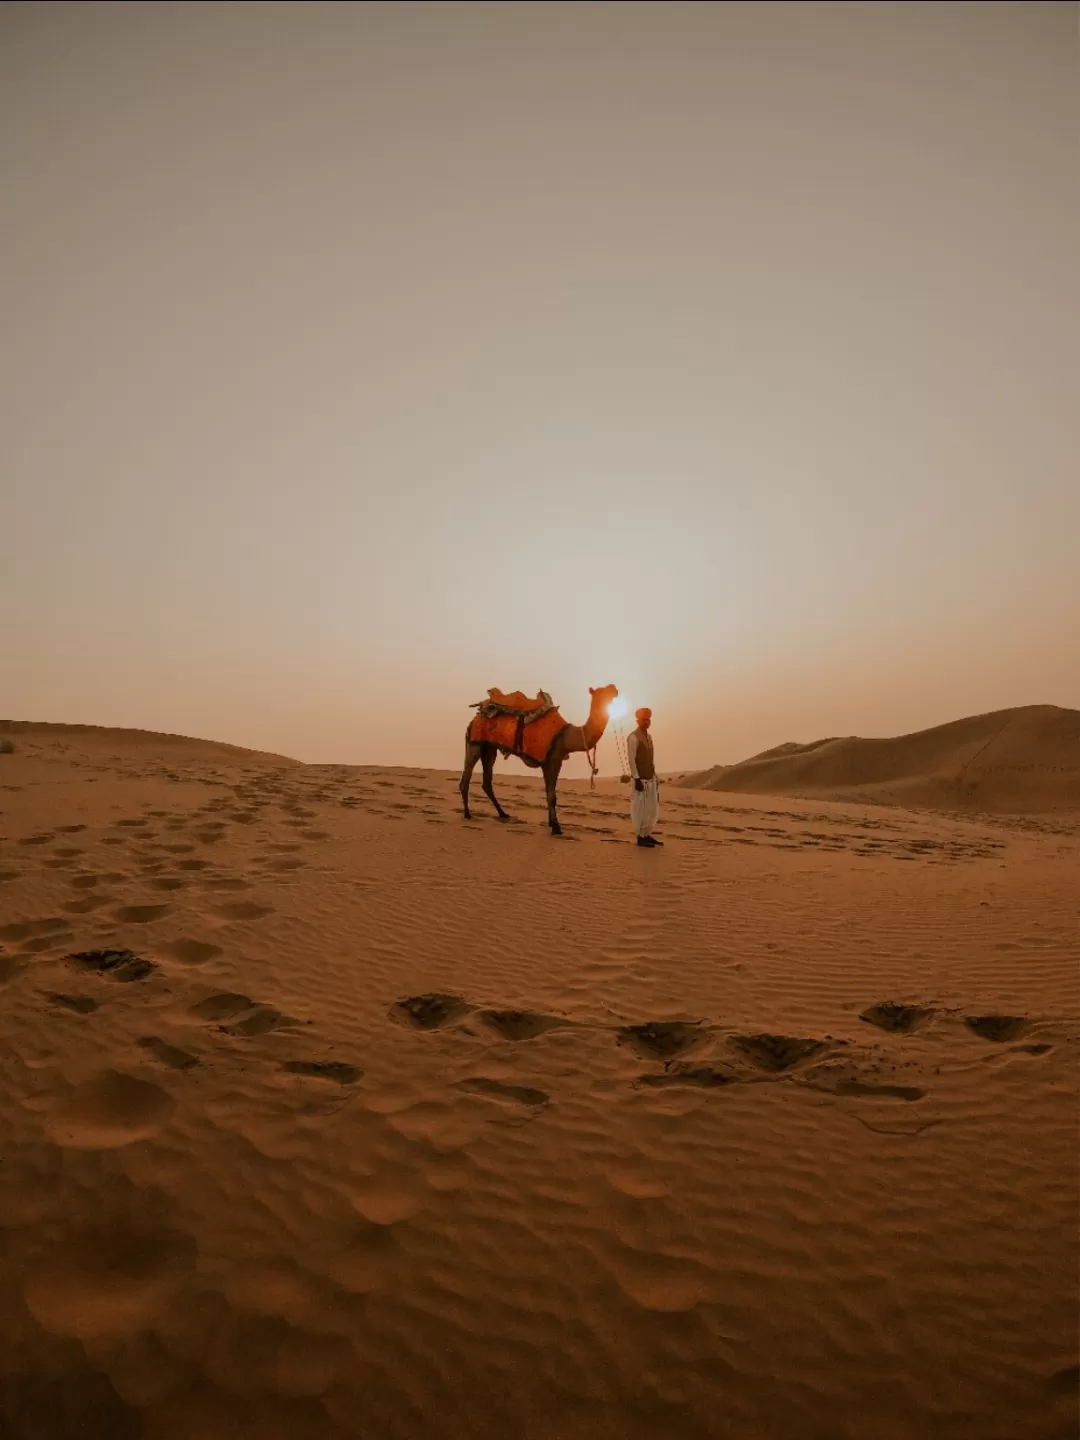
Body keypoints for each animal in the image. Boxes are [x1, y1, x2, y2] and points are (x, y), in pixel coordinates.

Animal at [460, 688, 622, 840]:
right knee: (466, 777)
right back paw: (467, 814)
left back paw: (503, 814)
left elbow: (549, 792)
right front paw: (556, 828)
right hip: (474, 744)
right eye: (603, 690)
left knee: (487, 781)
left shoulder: (554, 761)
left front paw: (551, 823)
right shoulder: (551, 761)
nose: (615, 689)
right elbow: (551, 795)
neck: (567, 735)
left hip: (489, 749)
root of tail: (475, 717)